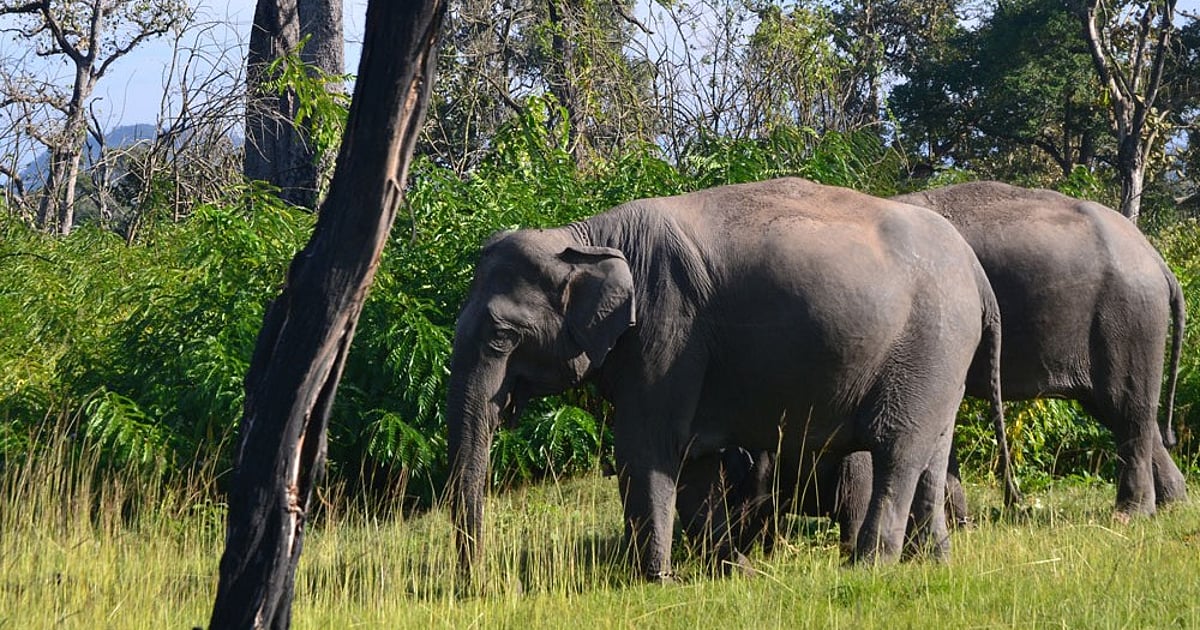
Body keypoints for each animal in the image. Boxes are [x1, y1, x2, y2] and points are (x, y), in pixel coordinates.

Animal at [445, 177, 1006, 582]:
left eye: (501, 336)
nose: (477, 587)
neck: (584, 236)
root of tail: (979, 276)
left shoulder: (669, 330)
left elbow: (646, 448)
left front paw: (656, 581)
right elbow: (692, 463)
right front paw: (733, 573)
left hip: (927, 345)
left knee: (897, 450)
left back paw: (866, 569)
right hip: (943, 362)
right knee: (933, 451)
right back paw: (932, 563)